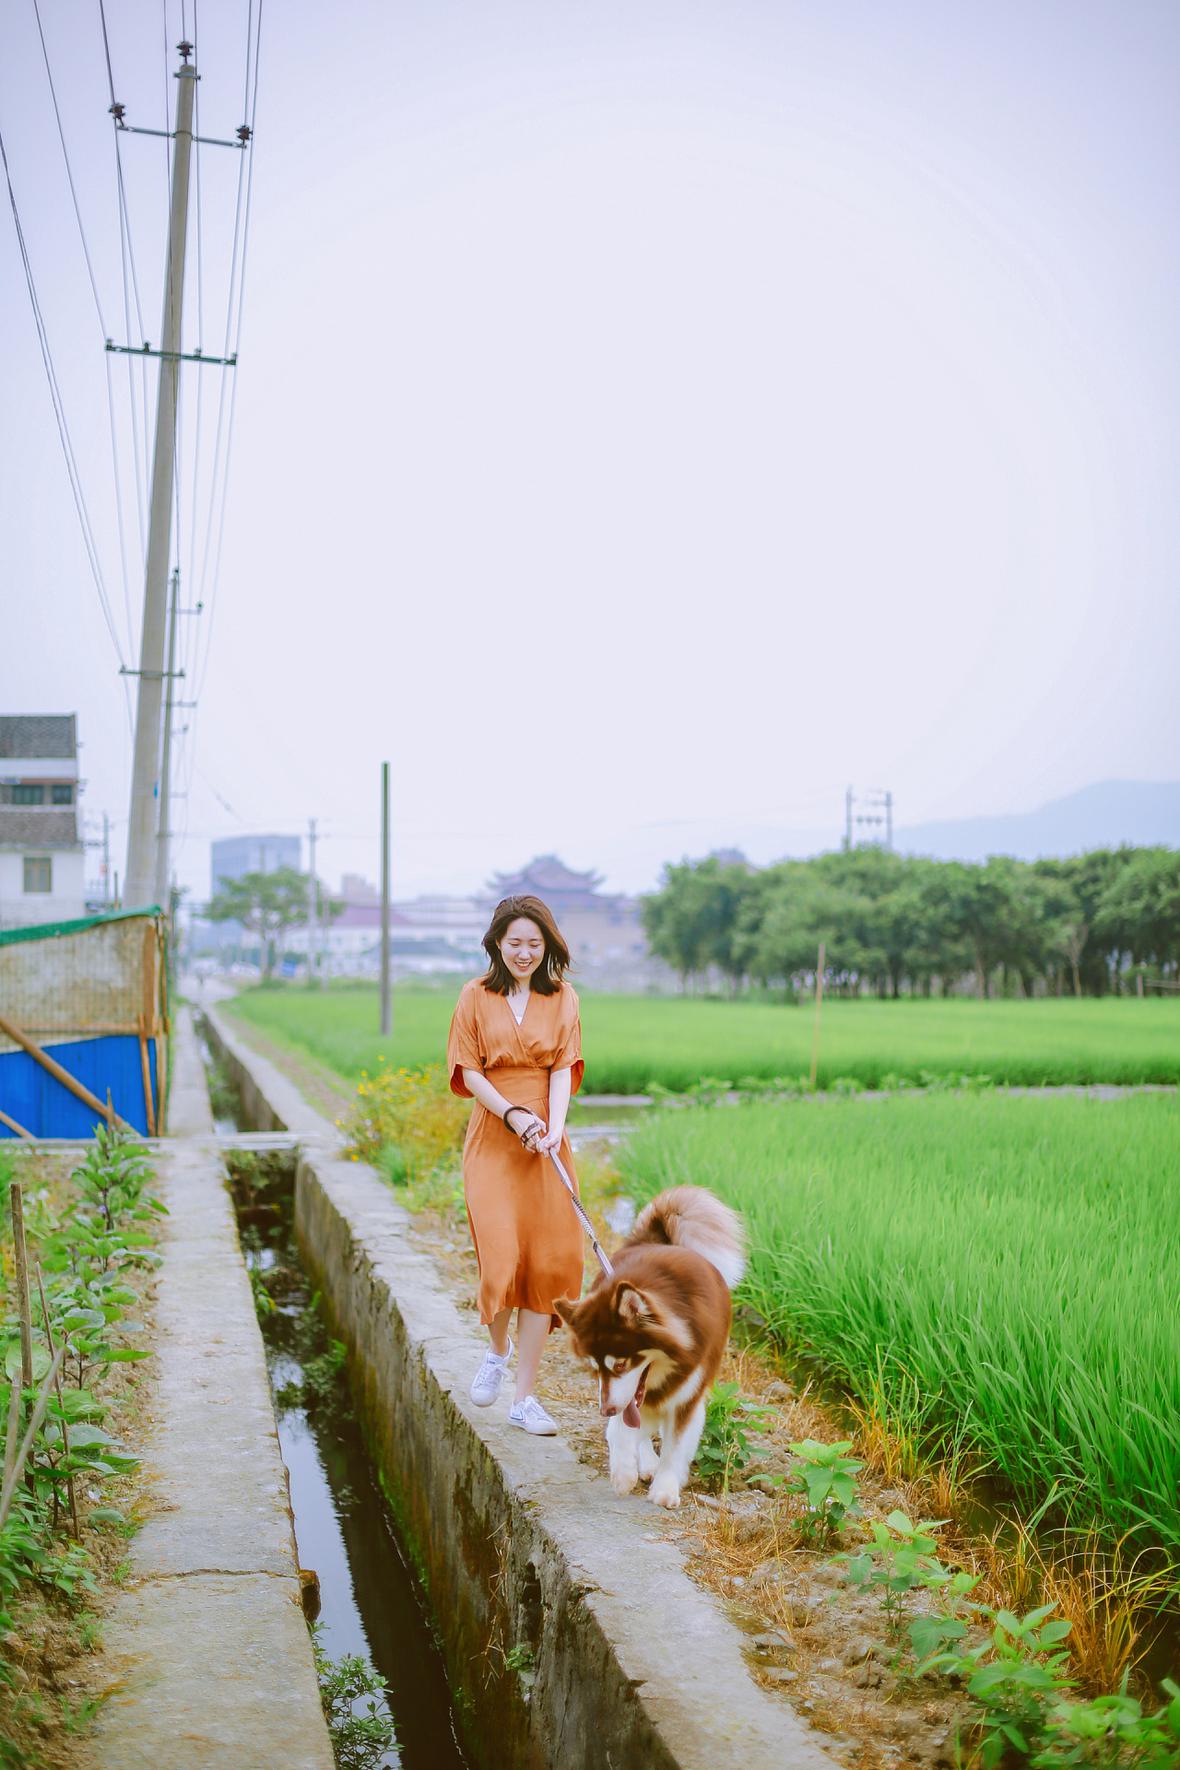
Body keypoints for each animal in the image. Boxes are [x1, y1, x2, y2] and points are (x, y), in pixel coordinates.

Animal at [554, 1185, 745, 1510]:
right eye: (595, 1367)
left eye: (620, 1364)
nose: (605, 1410)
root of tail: (657, 1240)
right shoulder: (618, 1392)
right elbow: (622, 1427)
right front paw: (623, 1471)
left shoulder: (688, 1394)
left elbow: (676, 1446)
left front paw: (666, 1487)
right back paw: (643, 1461)